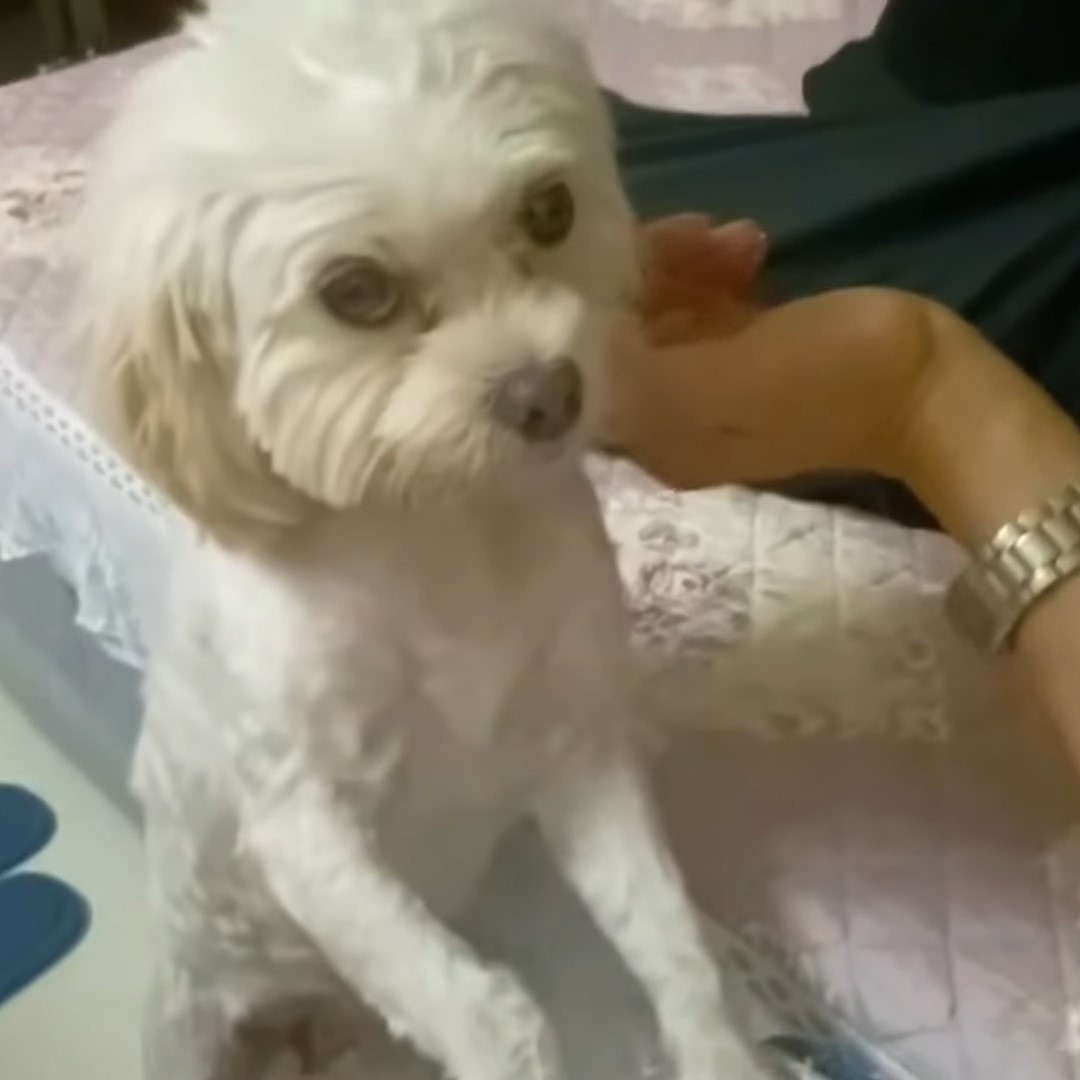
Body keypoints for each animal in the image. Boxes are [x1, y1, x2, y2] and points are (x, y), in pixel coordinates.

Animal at [76, 2, 768, 1080]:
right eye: (355, 291)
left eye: (550, 209)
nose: (550, 393)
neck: (441, 530)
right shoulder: (304, 822)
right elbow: (485, 1011)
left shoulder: (581, 753)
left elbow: (673, 945)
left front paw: (717, 1049)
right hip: (188, 1020)